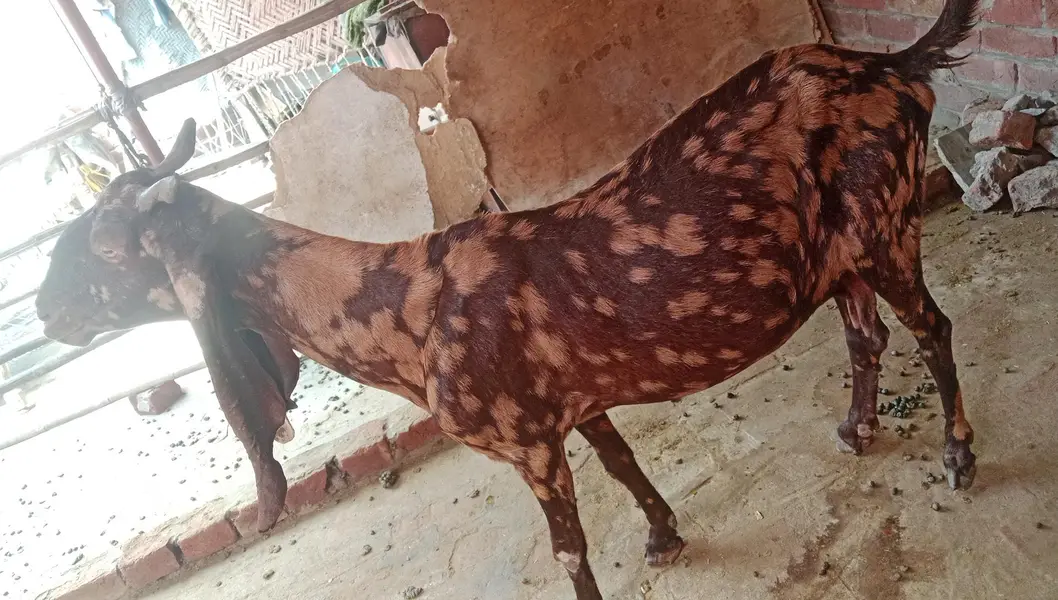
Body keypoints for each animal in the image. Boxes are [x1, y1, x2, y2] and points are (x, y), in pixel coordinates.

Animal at [36, 2, 979, 598]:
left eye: (107, 247)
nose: (45, 313)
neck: (402, 312)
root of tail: (895, 65)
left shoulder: (524, 438)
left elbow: (566, 552)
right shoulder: (572, 404)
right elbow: (623, 463)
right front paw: (665, 537)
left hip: (886, 221)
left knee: (932, 327)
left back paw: (959, 456)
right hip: (841, 257)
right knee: (865, 335)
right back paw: (855, 430)